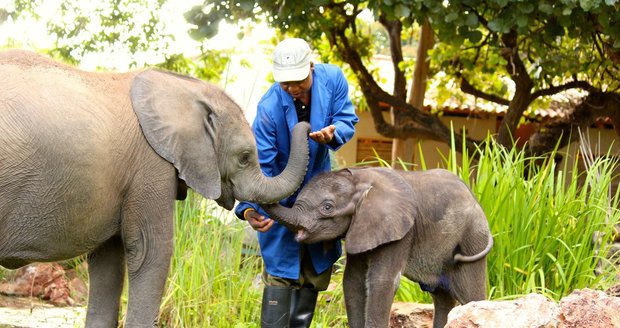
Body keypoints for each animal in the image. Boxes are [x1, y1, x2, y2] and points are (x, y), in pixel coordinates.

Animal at [0, 49, 310, 328]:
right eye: (245, 157)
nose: (308, 124)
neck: (183, 87)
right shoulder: (150, 163)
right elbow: (149, 250)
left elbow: (108, 261)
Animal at [262, 168, 494, 326]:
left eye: (327, 207)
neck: (360, 180)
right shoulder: (362, 229)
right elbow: (353, 281)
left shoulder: (402, 231)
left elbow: (382, 282)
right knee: (442, 297)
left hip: (473, 238)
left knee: (470, 295)